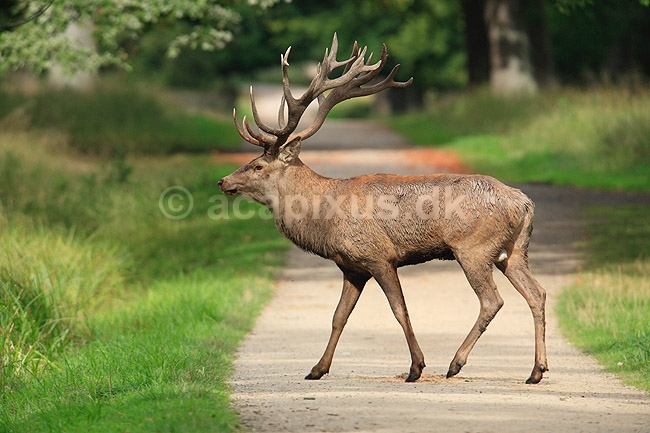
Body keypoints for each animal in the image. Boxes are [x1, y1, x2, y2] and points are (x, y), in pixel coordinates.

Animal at [218, 34, 548, 384]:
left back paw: (456, 363)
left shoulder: (378, 255)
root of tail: (524, 202)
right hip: (513, 251)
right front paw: (317, 368)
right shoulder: (352, 267)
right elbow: (339, 316)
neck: (325, 220)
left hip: (474, 248)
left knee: (492, 300)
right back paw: (536, 370)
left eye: (257, 166)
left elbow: (399, 309)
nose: (223, 181)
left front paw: (416, 367)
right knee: (537, 293)